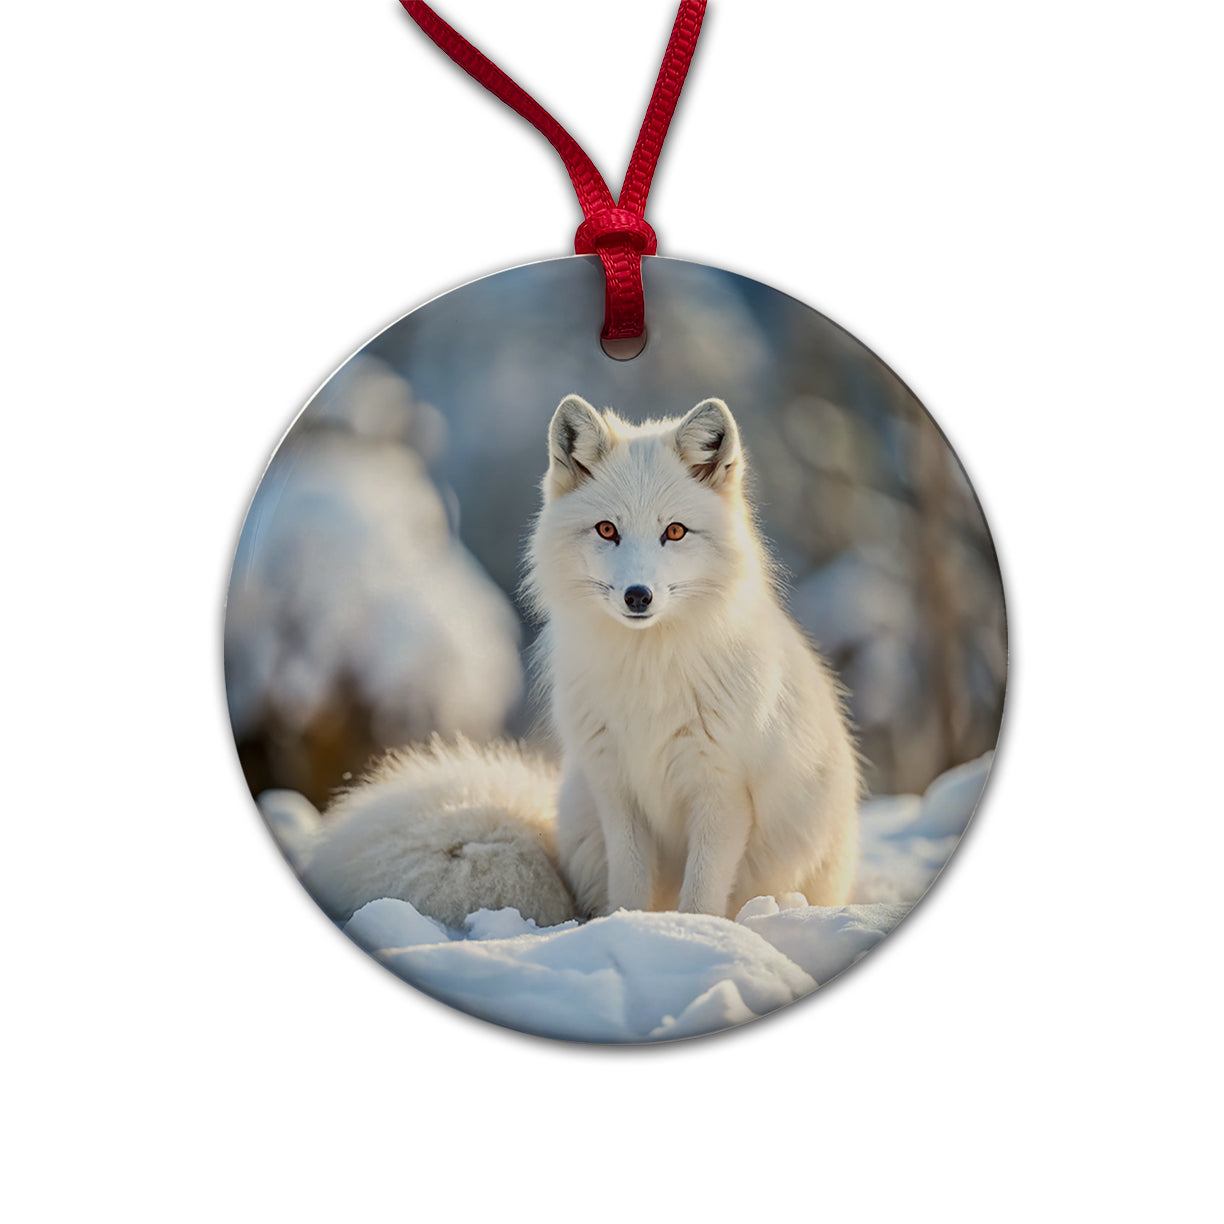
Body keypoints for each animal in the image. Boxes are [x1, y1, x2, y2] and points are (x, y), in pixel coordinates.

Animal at [299, 394, 859, 928]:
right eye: (607, 530)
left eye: (676, 532)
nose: (638, 596)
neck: (646, 676)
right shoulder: (615, 785)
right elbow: (630, 883)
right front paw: (629, 928)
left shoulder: (720, 792)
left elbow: (701, 894)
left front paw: (695, 934)